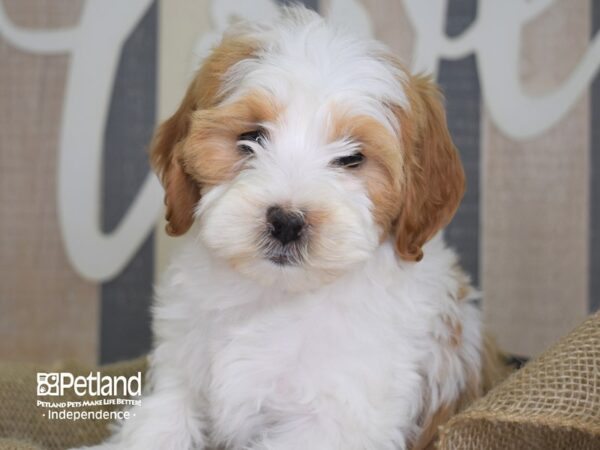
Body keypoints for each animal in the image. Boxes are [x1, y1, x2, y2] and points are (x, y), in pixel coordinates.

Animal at [85, 7, 496, 450]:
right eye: (251, 137)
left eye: (351, 158)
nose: (285, 222)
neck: (276, 294)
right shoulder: (179, 377)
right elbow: (158, 424)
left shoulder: (336, 420)